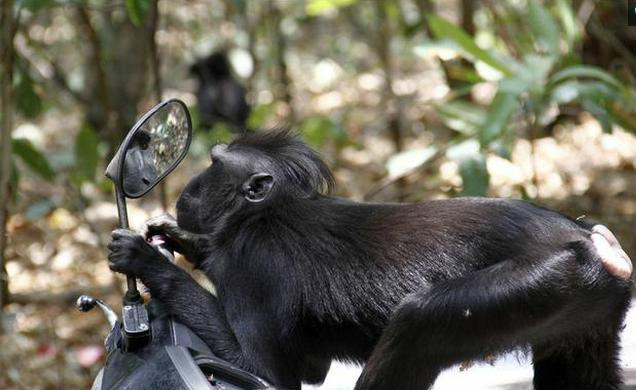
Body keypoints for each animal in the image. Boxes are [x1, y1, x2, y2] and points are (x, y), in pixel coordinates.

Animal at [107, 129, 632, 388]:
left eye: (214, 165)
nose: (188, 189)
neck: (268, 211)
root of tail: (592, 241)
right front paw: (173, 237)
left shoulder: (252, 260)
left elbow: (263, 372)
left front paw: (144, 260)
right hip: (586, 306)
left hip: (549, 279)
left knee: (419, 322)